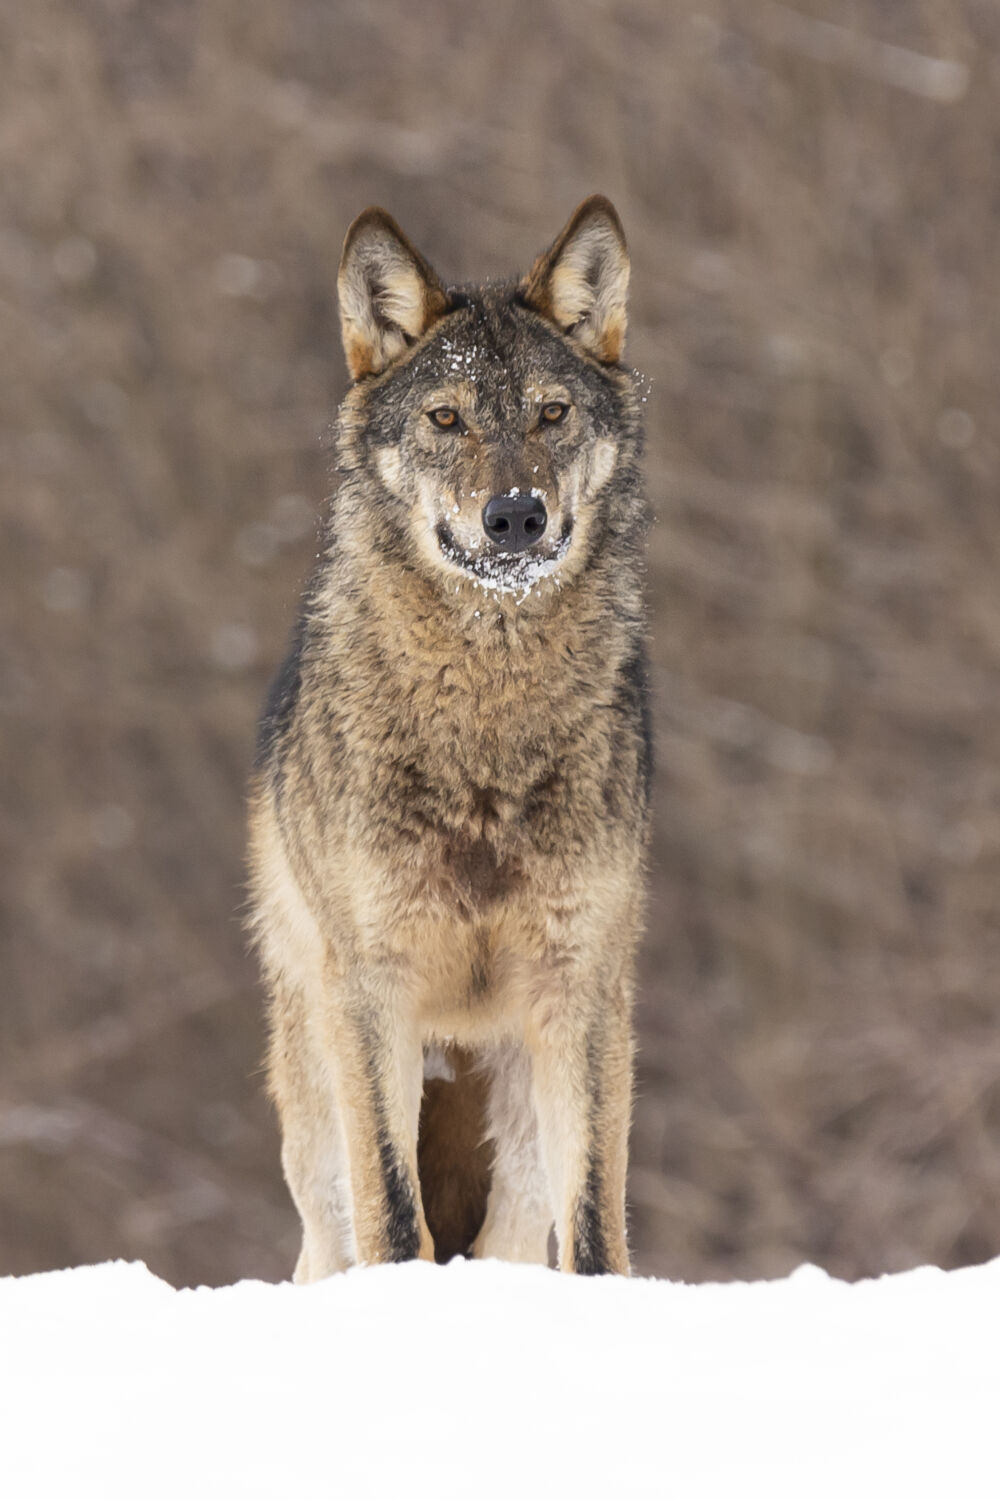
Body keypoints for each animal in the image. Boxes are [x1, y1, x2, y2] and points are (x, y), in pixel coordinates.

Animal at [248, 196, 650, 1278]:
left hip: (515, 1132)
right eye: (447, 419)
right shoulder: (370, 990)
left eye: (550, 414)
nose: (515, 516)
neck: (485, 731)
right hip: (319, 1114)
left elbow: (596, 1231)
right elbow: (395, 1215)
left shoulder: (583, 987)